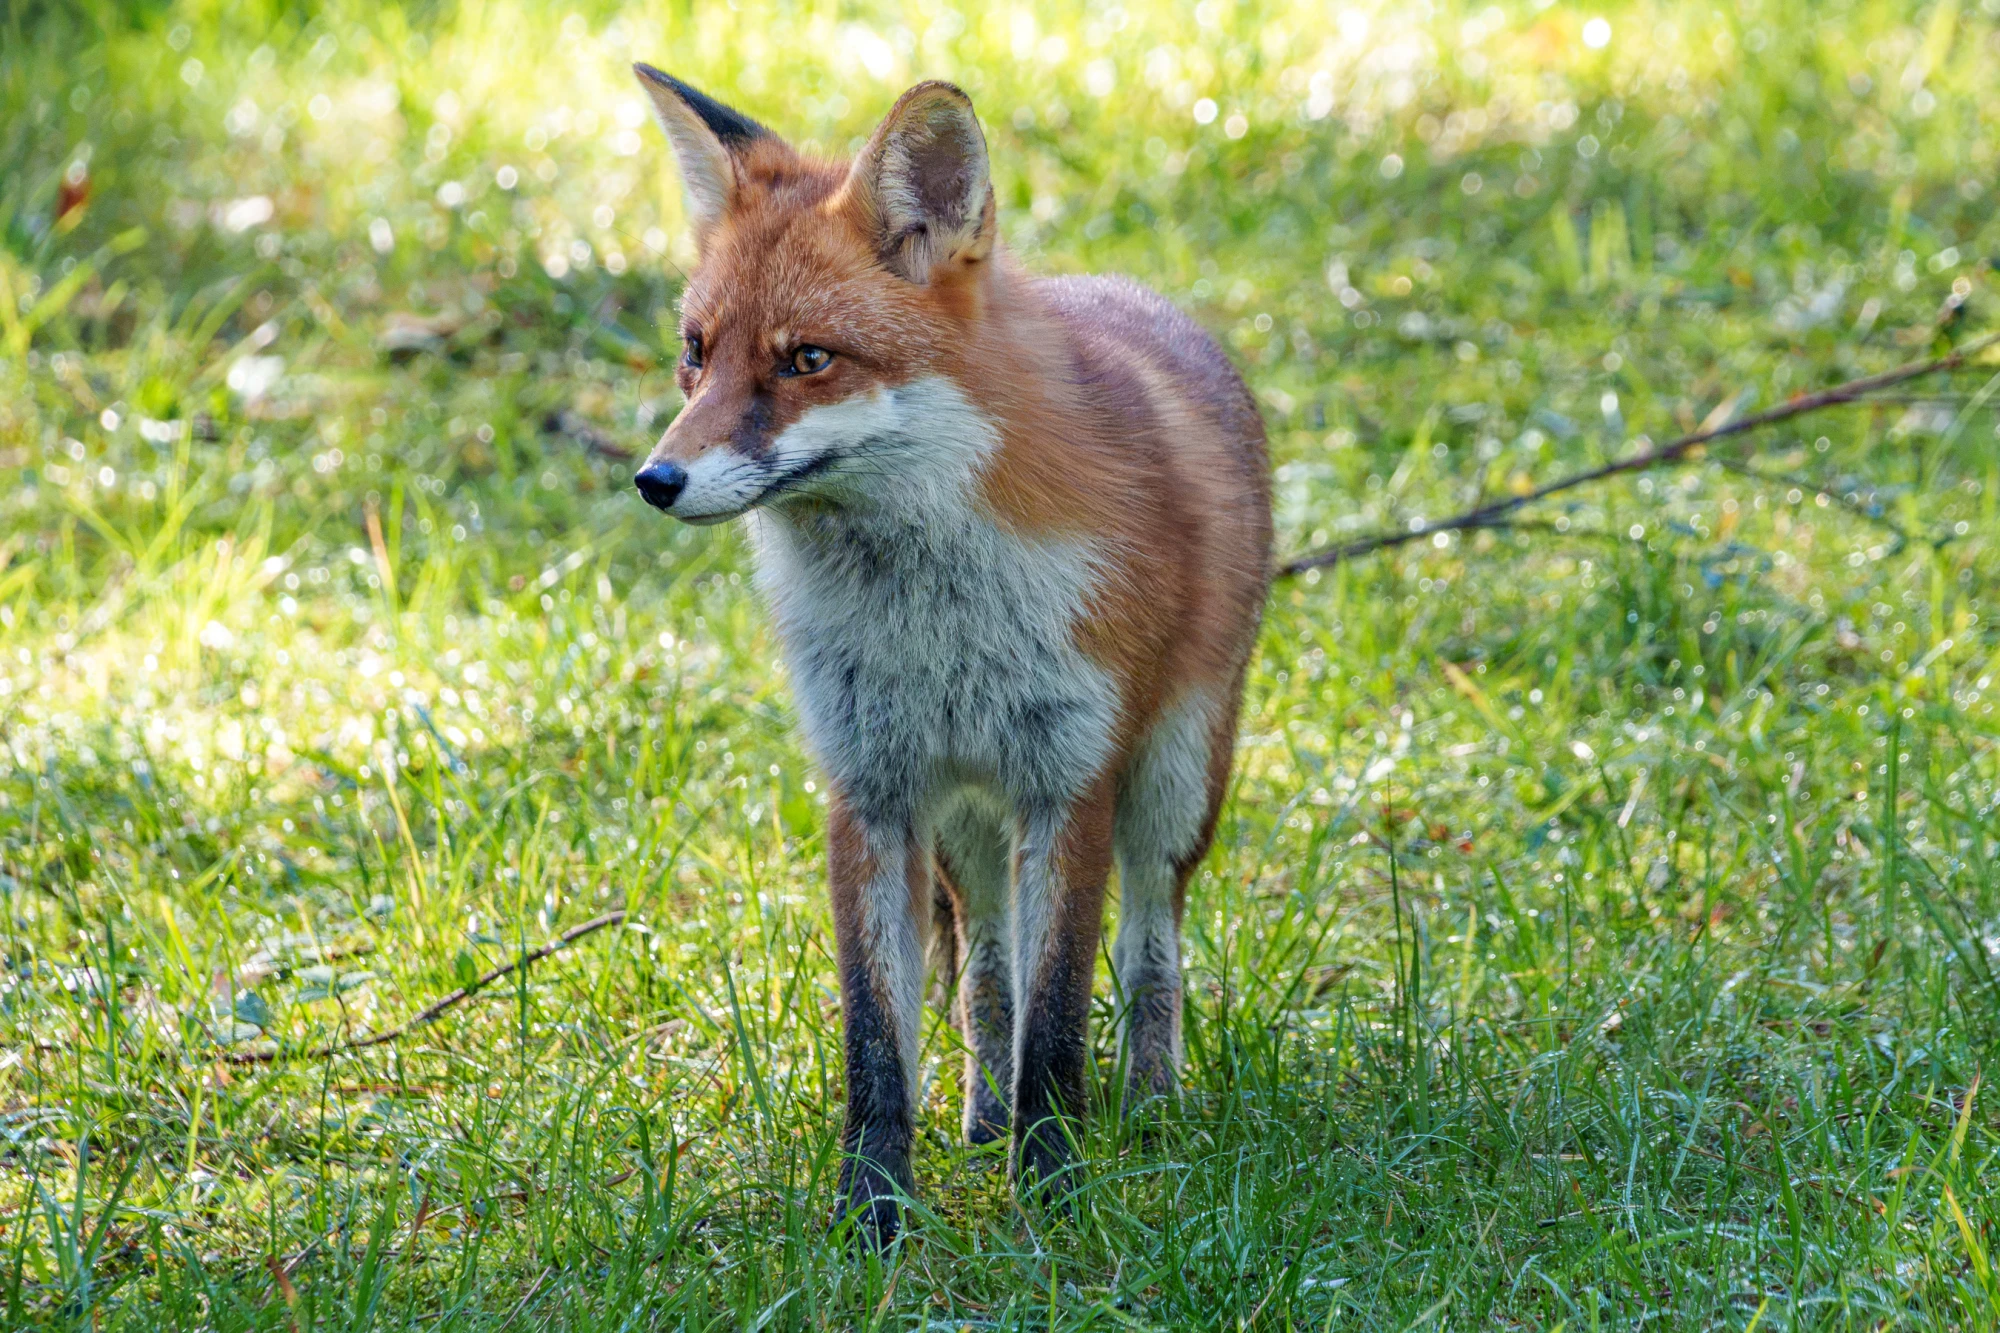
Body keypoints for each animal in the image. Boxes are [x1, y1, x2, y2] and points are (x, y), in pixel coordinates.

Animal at [627, 65, 1272, 1238]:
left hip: (1172, 781)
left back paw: (1150, 1107)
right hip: (968, 819)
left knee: (1150, 947)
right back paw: (979, 1119)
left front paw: (1053, 1193)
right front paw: (872, 1214)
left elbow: (1058, 1023)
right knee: (984, 972)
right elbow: (881, 1039)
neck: (936, 627)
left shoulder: (1071, 780)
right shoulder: (870, 789)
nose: (655, 480)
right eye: (696, 352)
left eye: (808, 359)